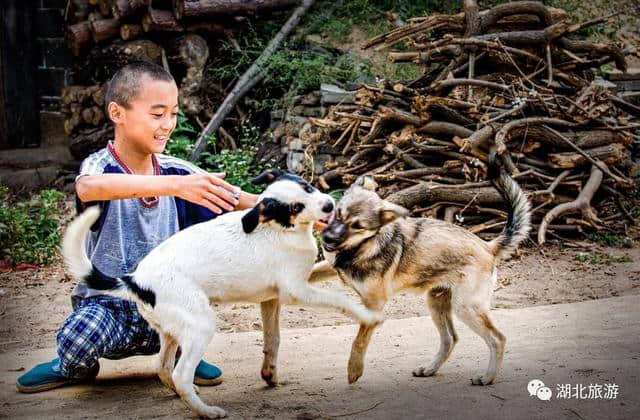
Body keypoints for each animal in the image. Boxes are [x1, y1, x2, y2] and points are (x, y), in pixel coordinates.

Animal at [62, 169, 384, 418]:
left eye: (306, 186)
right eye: (294, 207)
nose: (329, 206)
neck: (279, 229)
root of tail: (135, 280)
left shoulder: (271, 299)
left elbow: (273, 340)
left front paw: (270, 374)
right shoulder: (297, 292)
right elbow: (340, 300)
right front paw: (368, 316)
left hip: (171, 329)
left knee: (163, 368)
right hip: (201, 324)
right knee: (179, 374)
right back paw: (206, 411)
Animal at [312, 156, 532, 386]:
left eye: (358, 226)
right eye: (338, 213)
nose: (327, 239)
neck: (361, 246)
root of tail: (488, 246)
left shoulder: (374, 304)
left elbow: (359, 340)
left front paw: (354, 369)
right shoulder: (330, 266)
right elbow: (311, 273)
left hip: (466, 307)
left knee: (498, 339)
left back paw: (487, 377)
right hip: (436, 303)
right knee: (450, 339)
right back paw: (430, 369)